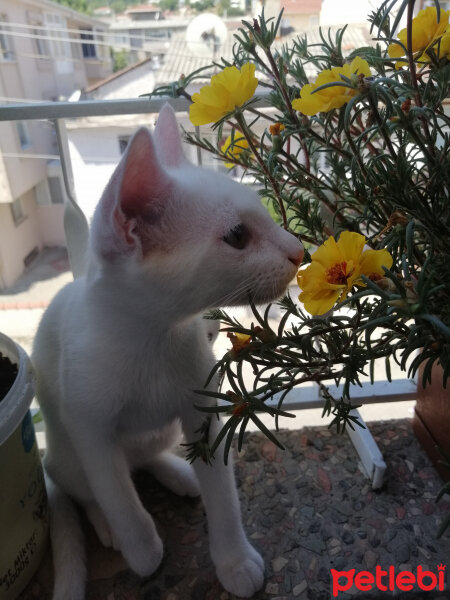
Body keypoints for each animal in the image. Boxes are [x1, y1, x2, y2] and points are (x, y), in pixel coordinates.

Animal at [33, 105, 304, 596]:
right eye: (238, 236)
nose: (299, 251)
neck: (154, 340)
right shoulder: (89, 426)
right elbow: (116, 493)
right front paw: (141, 548)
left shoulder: (203, 410)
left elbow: (223, 494)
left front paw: (234, 560)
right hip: (66, 449)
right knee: (90, 486)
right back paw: (106, 524)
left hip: (159, 431)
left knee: (142, 458)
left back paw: (178, 473)